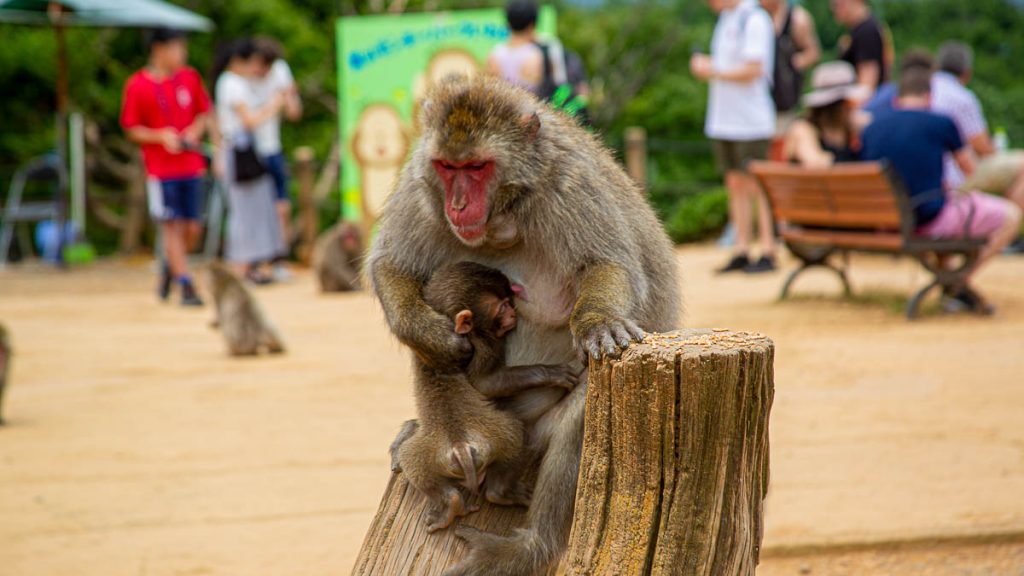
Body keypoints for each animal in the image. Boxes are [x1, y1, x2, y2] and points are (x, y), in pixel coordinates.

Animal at [395, 260, 581, 528]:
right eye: (502, 306)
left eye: (508, 302)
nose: (513, 313)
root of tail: (460, 445)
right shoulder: (482, 344)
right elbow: (485, 383)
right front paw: (551, 373)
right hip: (498, 435)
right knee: (516, 431)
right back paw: (499, 492)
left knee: (412, 460)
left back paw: (451, 503)